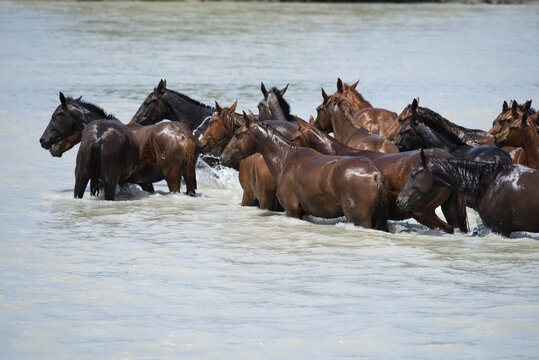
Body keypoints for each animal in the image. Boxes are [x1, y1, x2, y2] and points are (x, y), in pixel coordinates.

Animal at [242, 112, 388, 231]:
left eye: (239, 134)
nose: (234, 159)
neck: (286, 160)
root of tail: (375, 174)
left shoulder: (292, 210)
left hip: (360, 220)